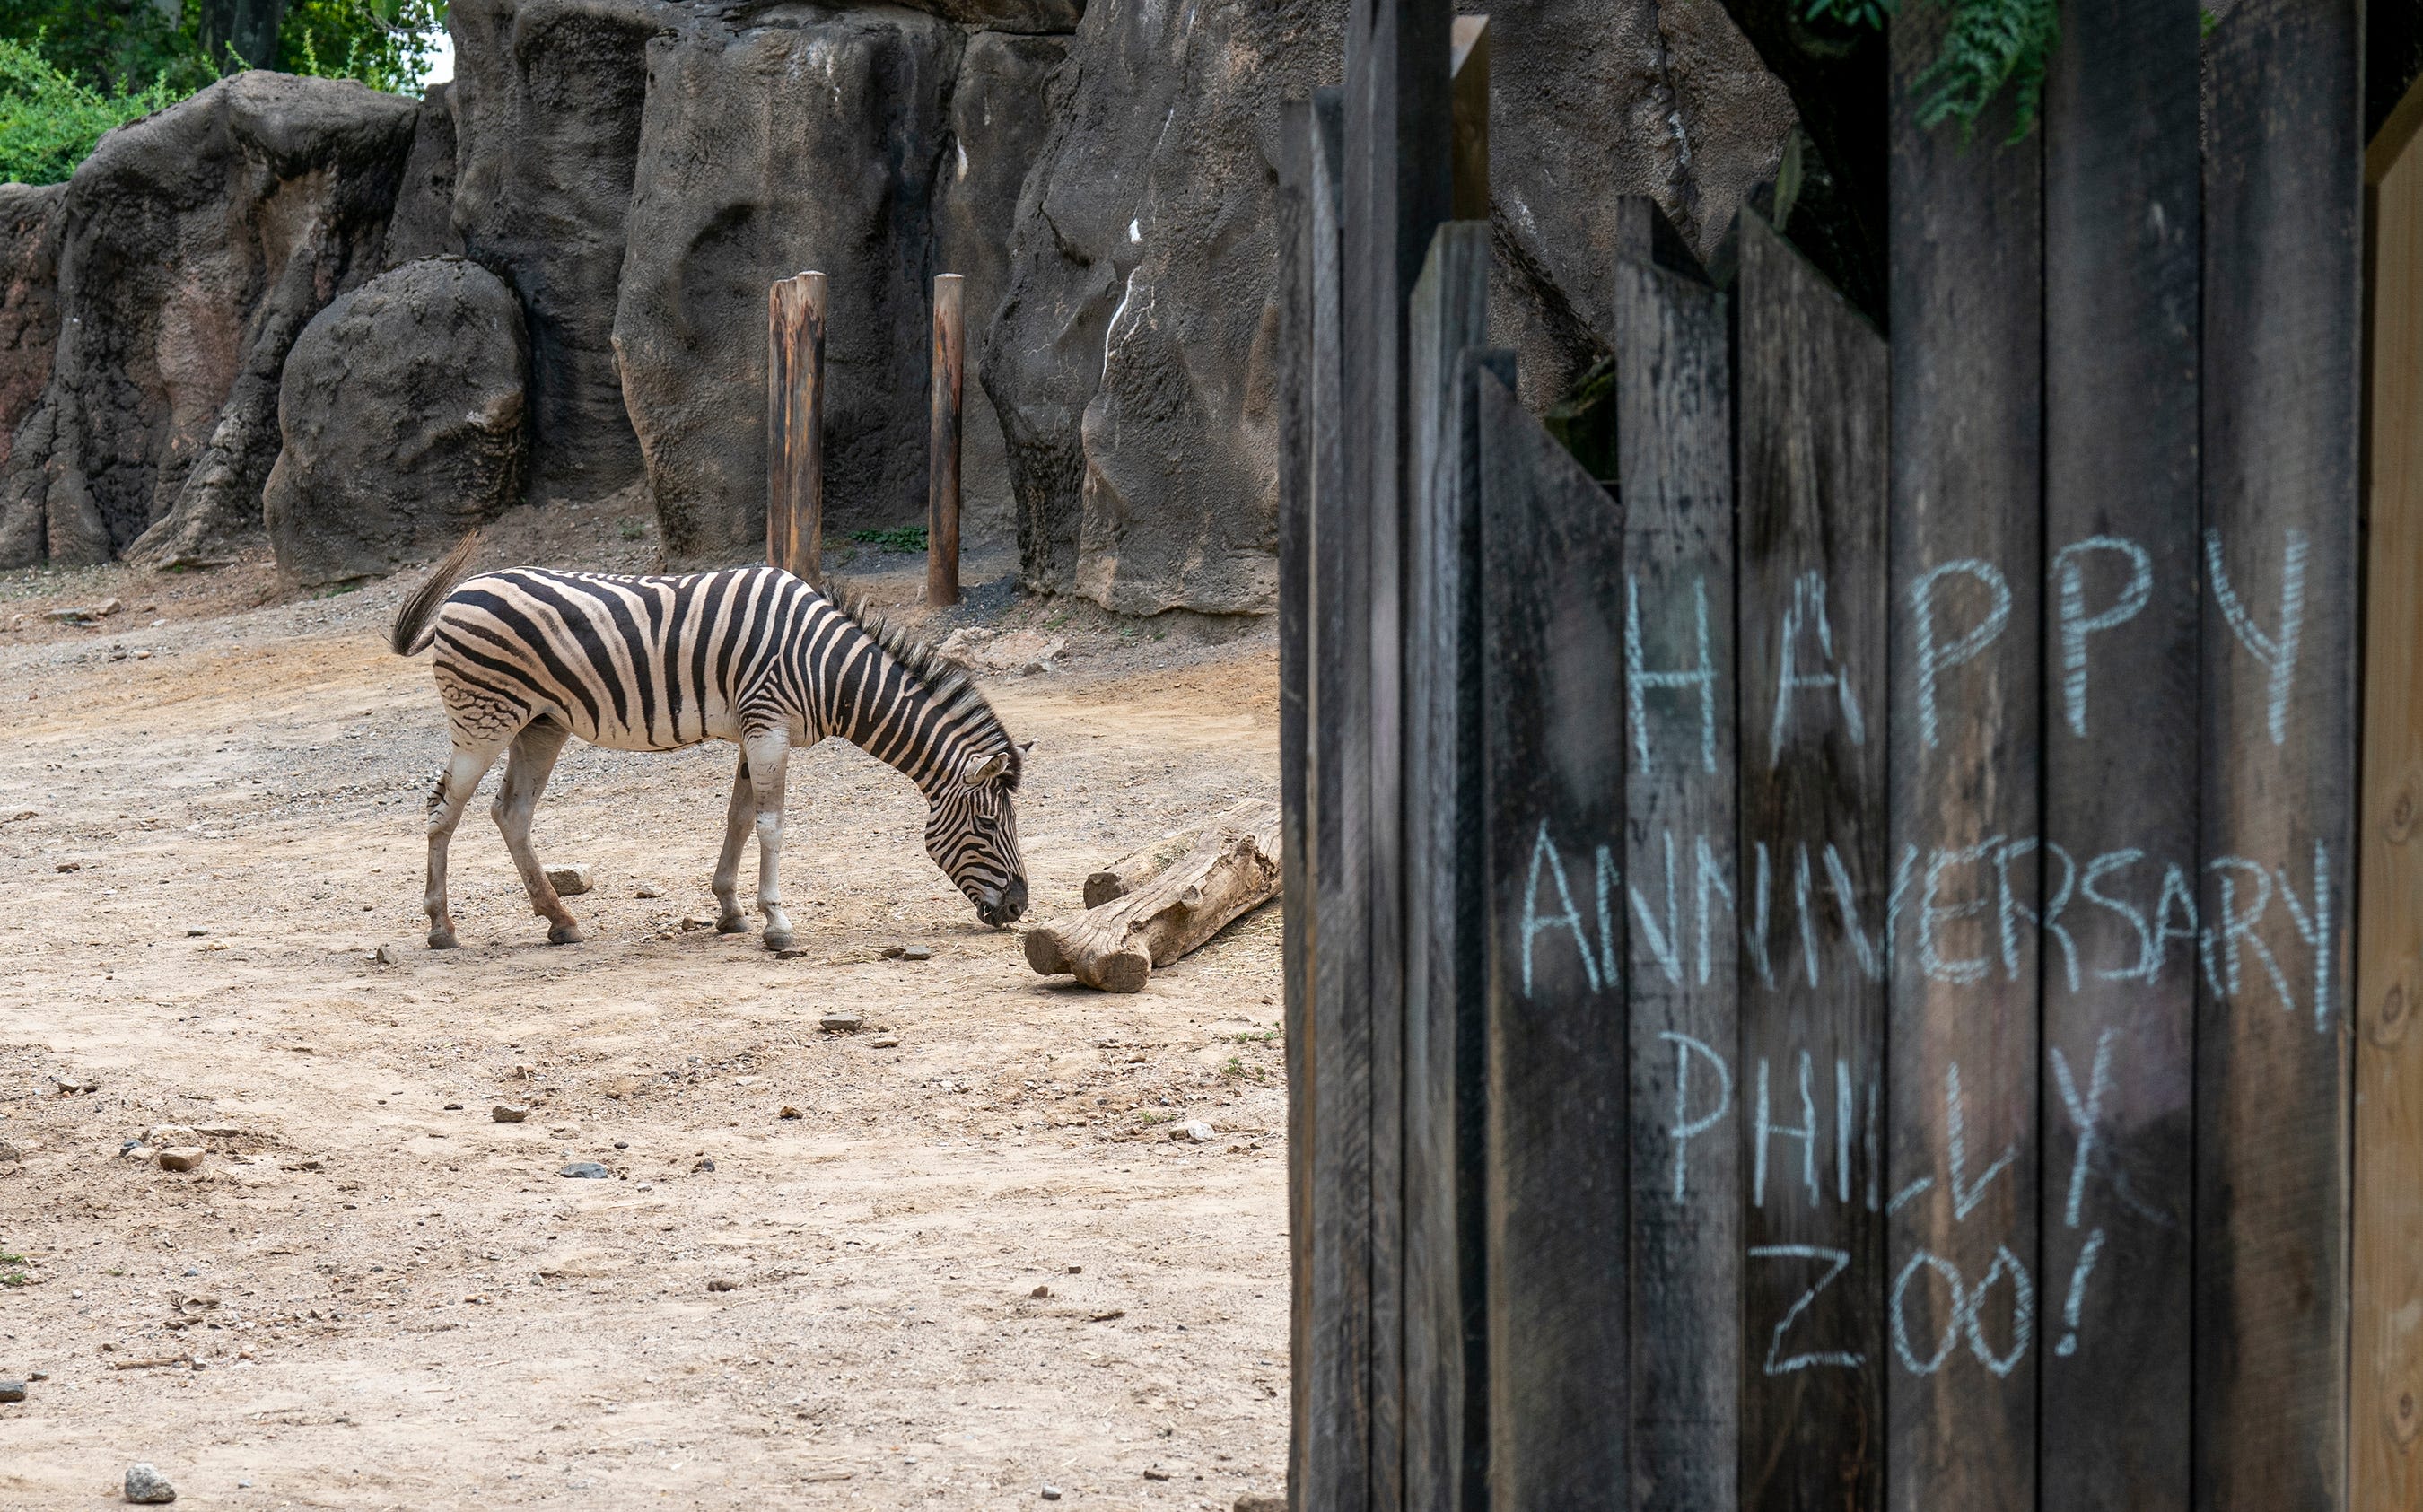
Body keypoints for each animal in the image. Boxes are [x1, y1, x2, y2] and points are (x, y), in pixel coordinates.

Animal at [388, 530, 1032, 949]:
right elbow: (771, 825)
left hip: (540, 724)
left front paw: (731, 910)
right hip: (484, 720)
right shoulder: (769, 724)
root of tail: (460, 593)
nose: (1019, 907)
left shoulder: (756, 729)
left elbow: (740, 819)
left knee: (511, 811)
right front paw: (776, 923)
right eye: (988, 824)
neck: (827, 668)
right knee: (444, 808)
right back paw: (442, 927)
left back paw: (560, 919)